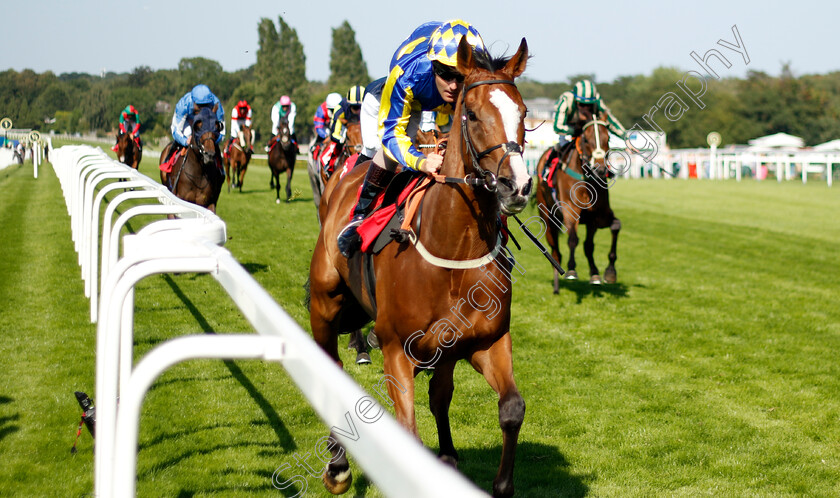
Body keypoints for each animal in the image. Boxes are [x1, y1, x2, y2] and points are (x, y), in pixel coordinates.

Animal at [308, 39, 532, 498]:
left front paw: (499, 483)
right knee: (330, 370)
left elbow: (511, 408)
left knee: (441, 393)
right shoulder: (396, 348)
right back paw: (337, 467)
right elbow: (408, 428)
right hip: (323, 305)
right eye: (472, 114)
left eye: (523, 113)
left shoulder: (487, 341)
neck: (454, 252)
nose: (515, 186)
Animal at [536, 105, 620, 292]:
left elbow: (610, 230)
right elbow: (573, 239)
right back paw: (557, 285)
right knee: (555, 252)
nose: (600, 170)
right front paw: (572, 269)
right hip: (548, 217)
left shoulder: (598, 216)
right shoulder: (570, 210)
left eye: (608, 138)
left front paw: (605, 273)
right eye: (587, 140)